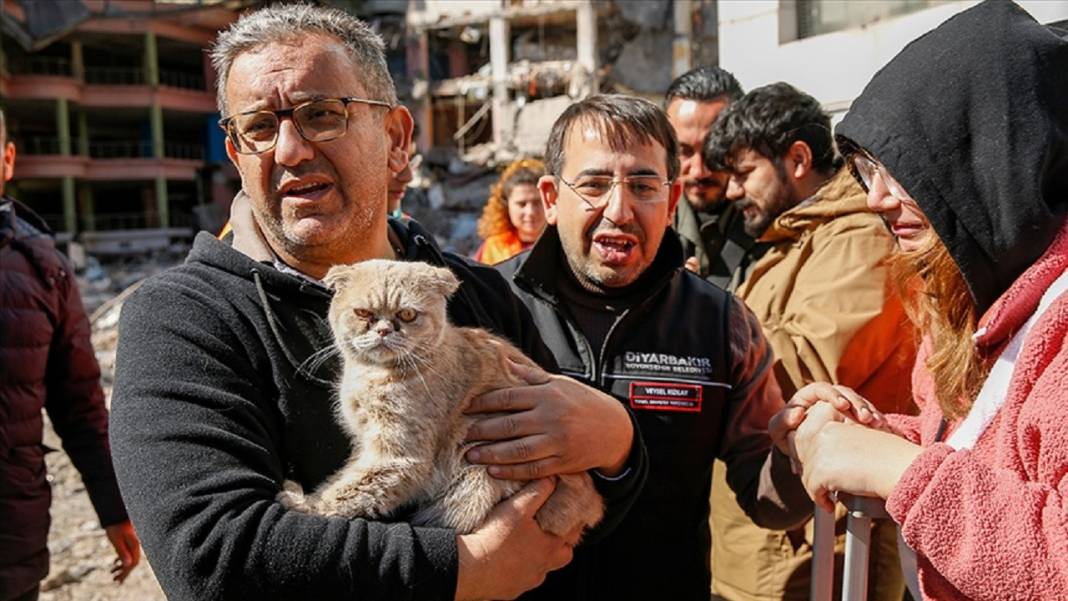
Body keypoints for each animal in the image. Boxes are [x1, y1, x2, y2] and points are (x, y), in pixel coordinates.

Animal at [275, 258, 606, 540]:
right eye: (363, 313)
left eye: (407, 314)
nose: (383, 330)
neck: (370, 375)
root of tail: (591, 507)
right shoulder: (365, 445)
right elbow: (343, 478)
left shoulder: (398, 456)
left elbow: (346, 492)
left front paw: (301, 502)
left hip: (472, 486)